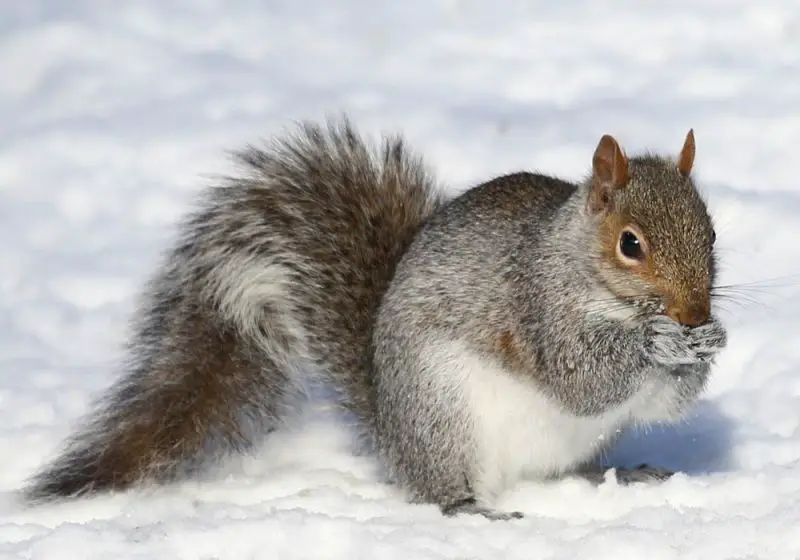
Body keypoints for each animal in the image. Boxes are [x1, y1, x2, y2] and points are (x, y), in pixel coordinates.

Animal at [24, 116, 727, 520]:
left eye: (713, 233)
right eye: (630, 244)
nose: (696, 311)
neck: (586, 273)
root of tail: (389, 427)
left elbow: (663, 402)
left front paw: (709, 343)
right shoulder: (535, 307)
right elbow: (579, 377)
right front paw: (657, 340)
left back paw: (626, 475)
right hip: (442, 413)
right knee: (439, 491)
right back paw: (470, 509)